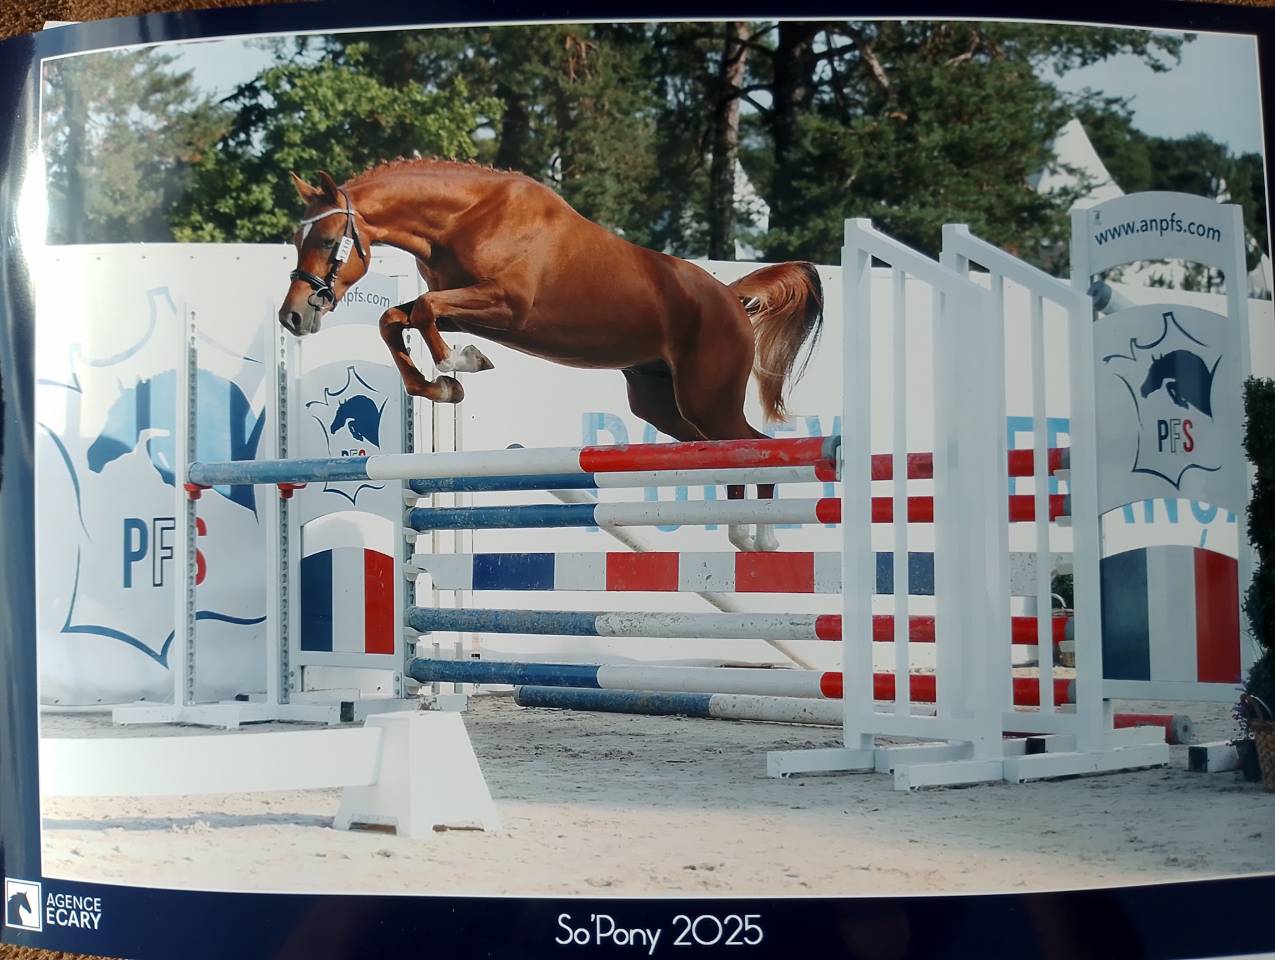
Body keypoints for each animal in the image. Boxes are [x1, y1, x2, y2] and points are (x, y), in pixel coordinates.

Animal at [278, 161, 824, 552]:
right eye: (295, 241)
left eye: (327, 240)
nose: (293, 317)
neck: (466, 218)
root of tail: (731, 296)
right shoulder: (468, 308)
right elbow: (394, 318)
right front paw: (441, 385)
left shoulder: (505, 305)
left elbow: (425, 310)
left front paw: (458, 363)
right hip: (663, 406)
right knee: (724, 451)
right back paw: (739, 530)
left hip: (707, 397)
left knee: (753, 444)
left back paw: (762, 533)